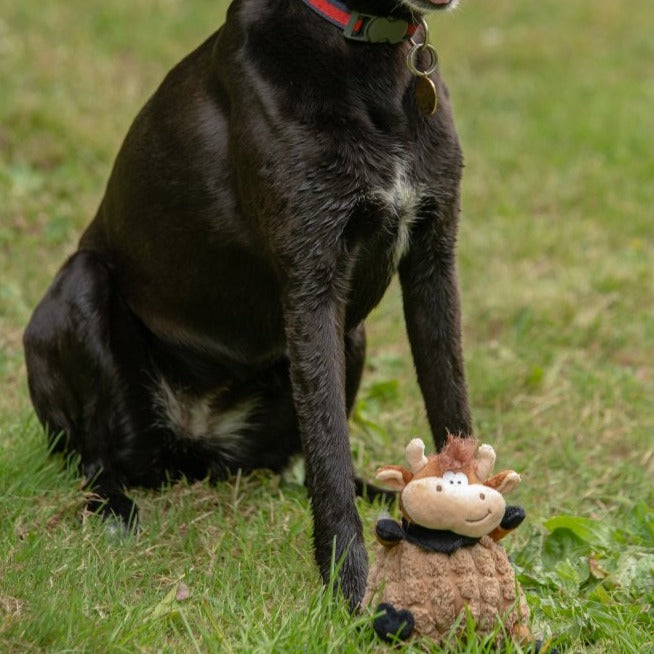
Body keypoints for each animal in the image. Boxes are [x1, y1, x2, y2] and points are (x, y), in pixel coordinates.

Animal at [21, 0, 472, 608]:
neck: (365, 49)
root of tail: (196, 444)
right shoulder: (311, 281)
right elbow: (329, 452)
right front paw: (350, 590)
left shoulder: (432, 260)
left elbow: (452, 410)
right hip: (82, 284)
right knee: (95, 460)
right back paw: (114, 511)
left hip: (351, 338)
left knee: (296, 465)